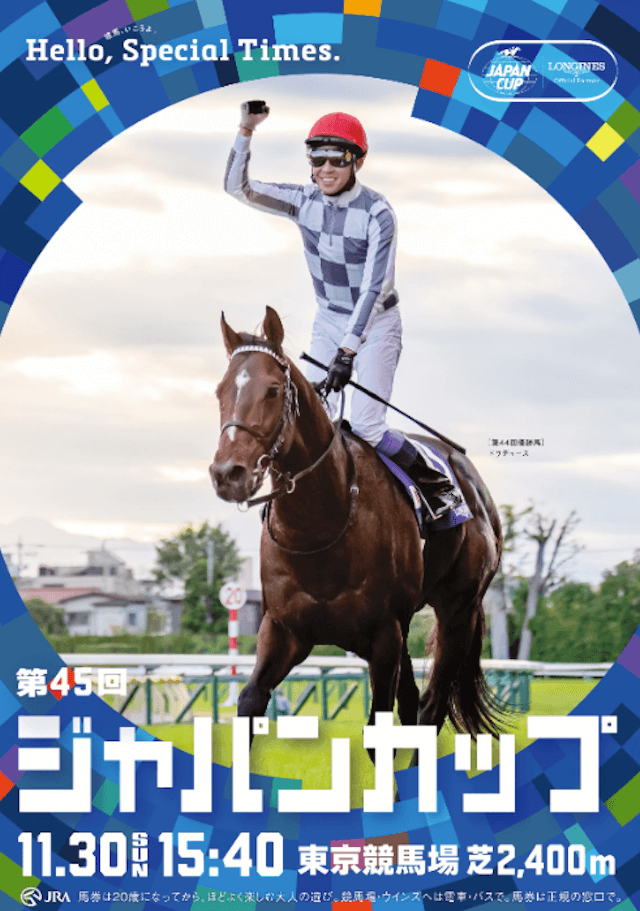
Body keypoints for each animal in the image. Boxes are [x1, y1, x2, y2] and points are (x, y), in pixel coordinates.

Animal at [210, 306, 503, 739]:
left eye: (272, 390)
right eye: (220, 391)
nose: (227, 473)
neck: (321, 527)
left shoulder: (382, 635)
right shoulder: (283, 630)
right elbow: (249, 702)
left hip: (458, 611)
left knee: (431, 706)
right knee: (413, 702)